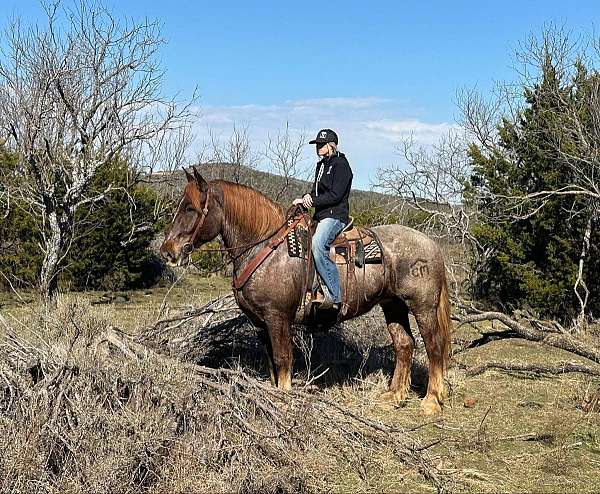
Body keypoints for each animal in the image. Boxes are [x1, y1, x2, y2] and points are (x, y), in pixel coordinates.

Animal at [159, 168, 450, 414]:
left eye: (191, 208)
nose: (168, 252)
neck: (265, 247)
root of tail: (432, 245)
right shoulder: (259, 322)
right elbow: (271, 361)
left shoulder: (277, 318)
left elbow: (283, 358)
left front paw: (283, 399)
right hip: (393, 305)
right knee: (404, 344)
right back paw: (395, 395)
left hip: (423, 307)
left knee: (434, 346)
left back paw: (431, 400)